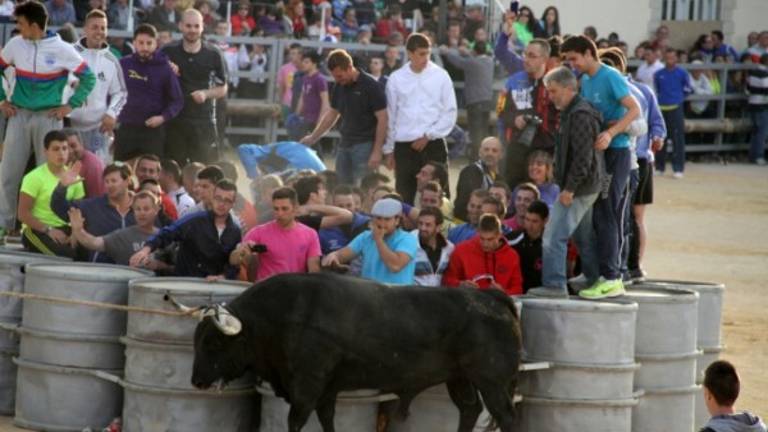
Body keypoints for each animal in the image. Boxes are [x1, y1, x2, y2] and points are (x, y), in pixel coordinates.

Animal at [187, 274, 520, 432]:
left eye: (214, 343)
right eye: (197, 340)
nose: (197, 381)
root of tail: (492, 298)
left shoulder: (308, 386)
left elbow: (296, 420)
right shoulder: (327, 391)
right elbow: (327, 420)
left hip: (492, 381)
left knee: (506, 417)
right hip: (460, 379)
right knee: (470, 411)